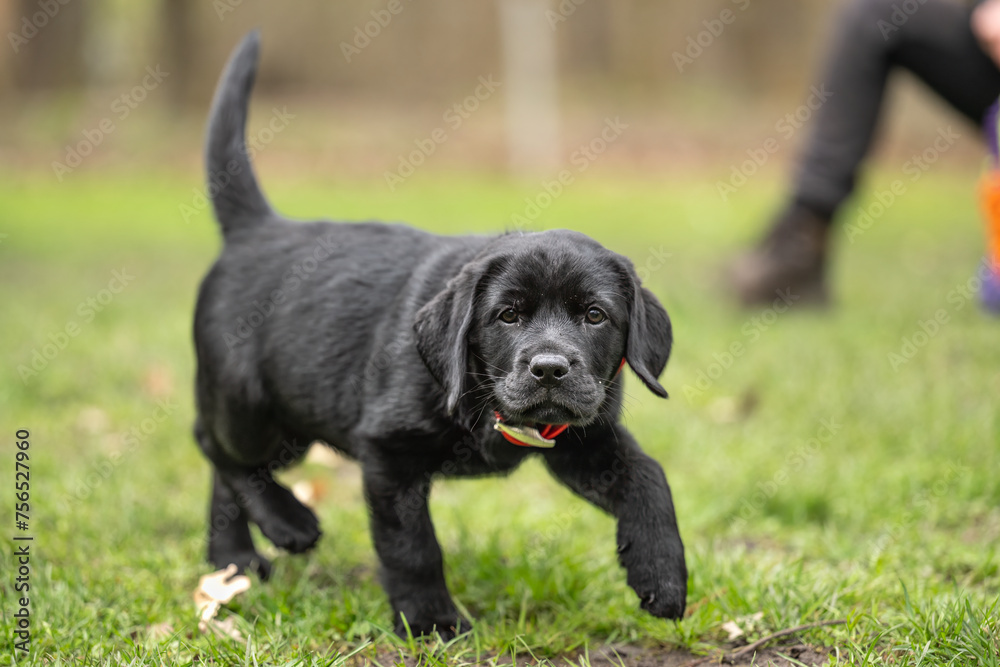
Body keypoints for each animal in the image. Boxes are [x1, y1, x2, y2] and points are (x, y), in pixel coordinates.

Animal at [191, 31, 684, 636]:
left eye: (595, 316)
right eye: (507, 316)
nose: (549, 369)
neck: (481, 396)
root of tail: (256, 227)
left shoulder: (583, 441)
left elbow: (649, 476)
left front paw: (662, 576)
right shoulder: (387, 454)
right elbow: (413, 546)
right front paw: (431, 622)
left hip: (291, 422)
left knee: (222, 470)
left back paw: (232, 561)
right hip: (249, 405)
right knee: (214, 446)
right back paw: (287, 523)